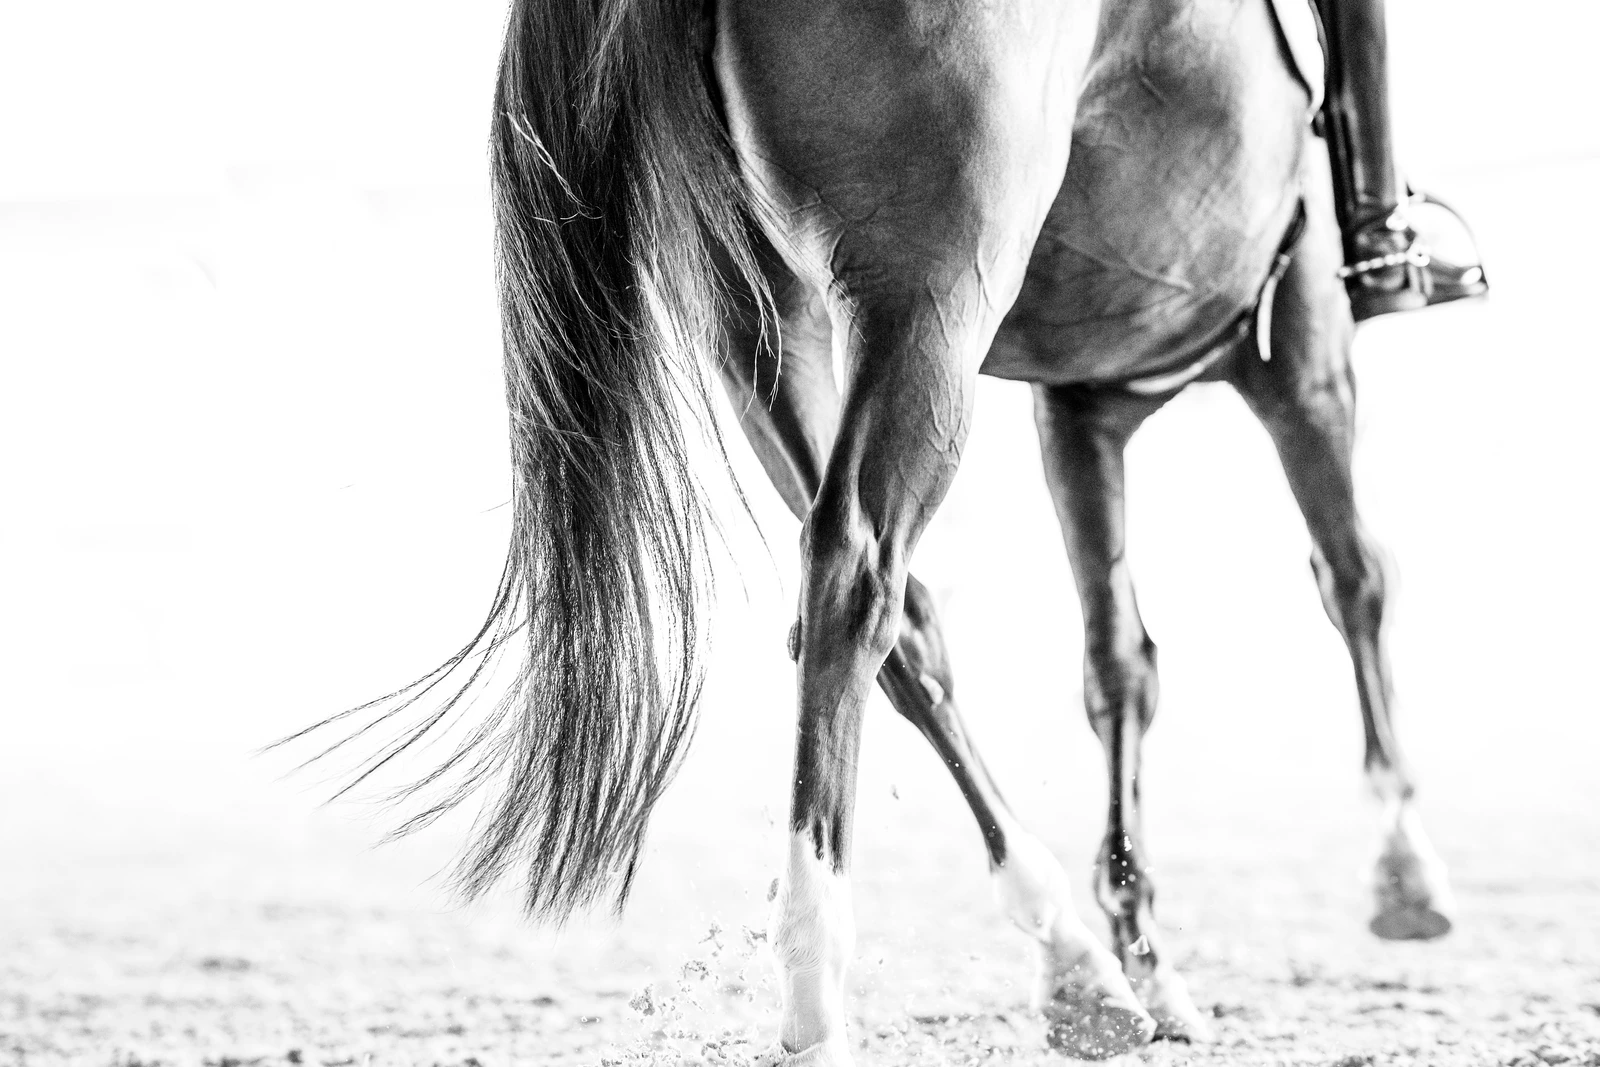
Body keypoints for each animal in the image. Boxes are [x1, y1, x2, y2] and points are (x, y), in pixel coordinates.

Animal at [294, 0, 1458, 1060]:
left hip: (766, 327)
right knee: (856, 574)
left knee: (897, 617)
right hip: (931, 308)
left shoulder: (1079, 403)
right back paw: (820, 997)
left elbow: (1121, 663)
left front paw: (1146, 955)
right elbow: (1354, 575)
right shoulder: (1300, 333)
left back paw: (1077, 967)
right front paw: (1404, 871)